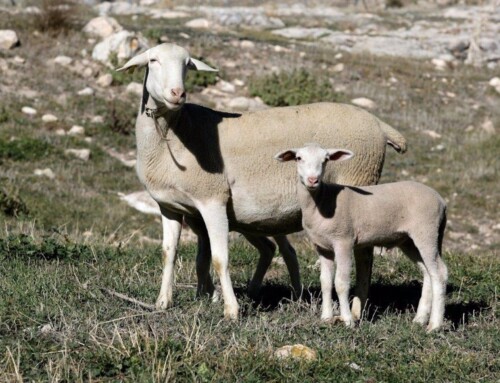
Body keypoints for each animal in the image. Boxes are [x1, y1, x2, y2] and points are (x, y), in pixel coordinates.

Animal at [118, 42, 410, 320]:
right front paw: (162, 302)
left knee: (365, 255)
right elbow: (169, 253)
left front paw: (231, 310)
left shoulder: (212, 199)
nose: (178, 93)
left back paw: (357, 310)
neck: (176, 131)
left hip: (361, 185)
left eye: (187, 64)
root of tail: (380, 125)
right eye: (153, 60)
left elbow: (219, 258)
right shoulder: (170, 207)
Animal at [276, 143, 448, 330]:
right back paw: (420, 319)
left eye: (326, 159)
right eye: (298, 158)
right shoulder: (322, 247)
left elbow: (341, 283)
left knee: (439, 273)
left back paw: (434, 325)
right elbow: (326, 282)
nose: (313, 180)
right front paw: (326, 317)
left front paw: (348, 320)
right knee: (428, 273)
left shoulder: (343, 241)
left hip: (426, 232)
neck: (322, 200)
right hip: (409, 240)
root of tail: (441, 201)